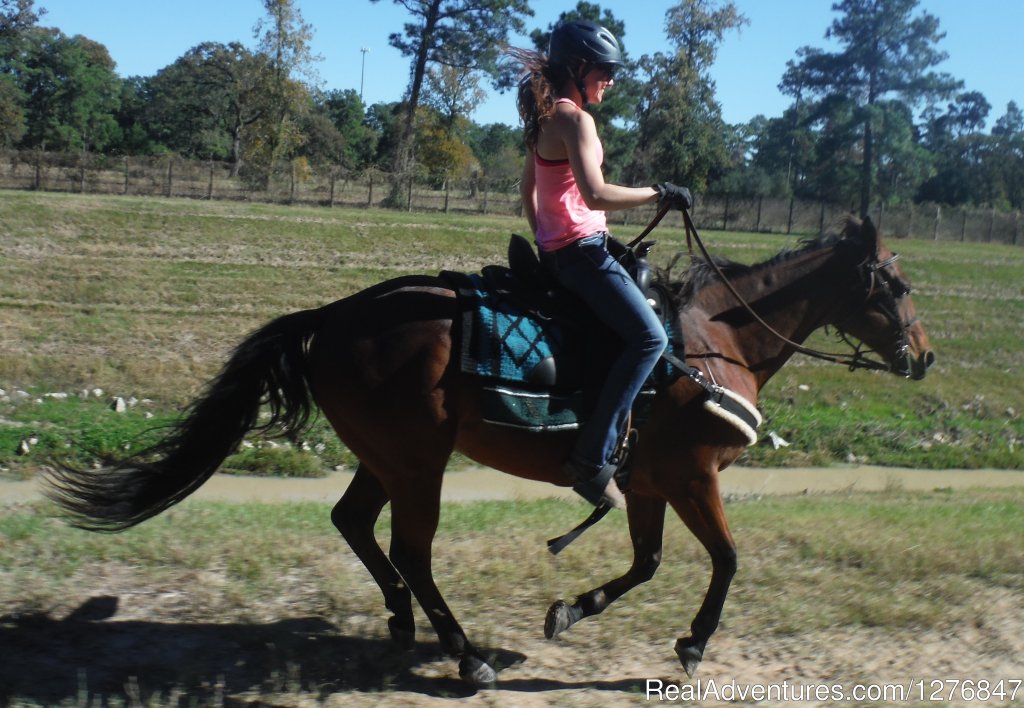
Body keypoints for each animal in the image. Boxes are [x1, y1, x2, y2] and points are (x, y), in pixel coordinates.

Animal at [44, 214, 933, 688]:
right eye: (893, 284)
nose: (923, 356)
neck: (713, 343)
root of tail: (331, 315)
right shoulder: (691, 475)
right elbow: (726, 560)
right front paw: (691, 644)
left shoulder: (648, 480)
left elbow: (645, 563)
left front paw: (572, 608)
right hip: (418, 463)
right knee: (410, 548)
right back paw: (464, 656)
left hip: (387, 456)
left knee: (354, 524)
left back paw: (402, 620)